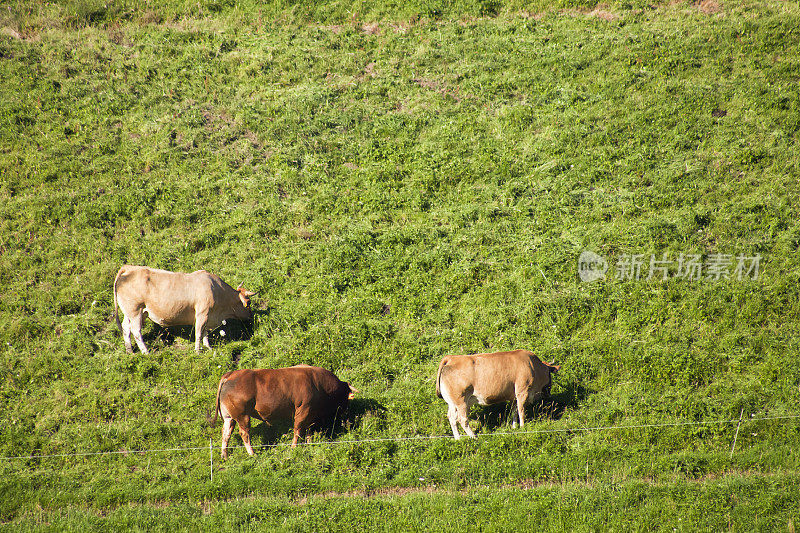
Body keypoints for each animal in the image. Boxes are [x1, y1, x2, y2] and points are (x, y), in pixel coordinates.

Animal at [112, 262, 255, 354]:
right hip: (135, 311)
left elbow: (204, 332)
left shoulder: (208, 315)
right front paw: (198, 351)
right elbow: (199, 332)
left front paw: (208, 347)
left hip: (133, 313)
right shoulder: (202, 313)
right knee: (136, 331)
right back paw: (146, 352)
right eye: (248, 303)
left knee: (126, 328)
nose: (251, 316)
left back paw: (130, 351)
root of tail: (130, 268)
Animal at [209, 366, 356, 458]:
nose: (346, 412)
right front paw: (294, 447)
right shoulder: (303, 410)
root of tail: (230, 375)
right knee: (244, 433)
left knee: (226, 434)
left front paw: (309, 443)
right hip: (242, 416)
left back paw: (224, 455)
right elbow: (298, 430)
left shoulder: (311, 414)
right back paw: (252, 453)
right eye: (346, 398)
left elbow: (309, 429)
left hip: (229, 417)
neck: (318, 384)